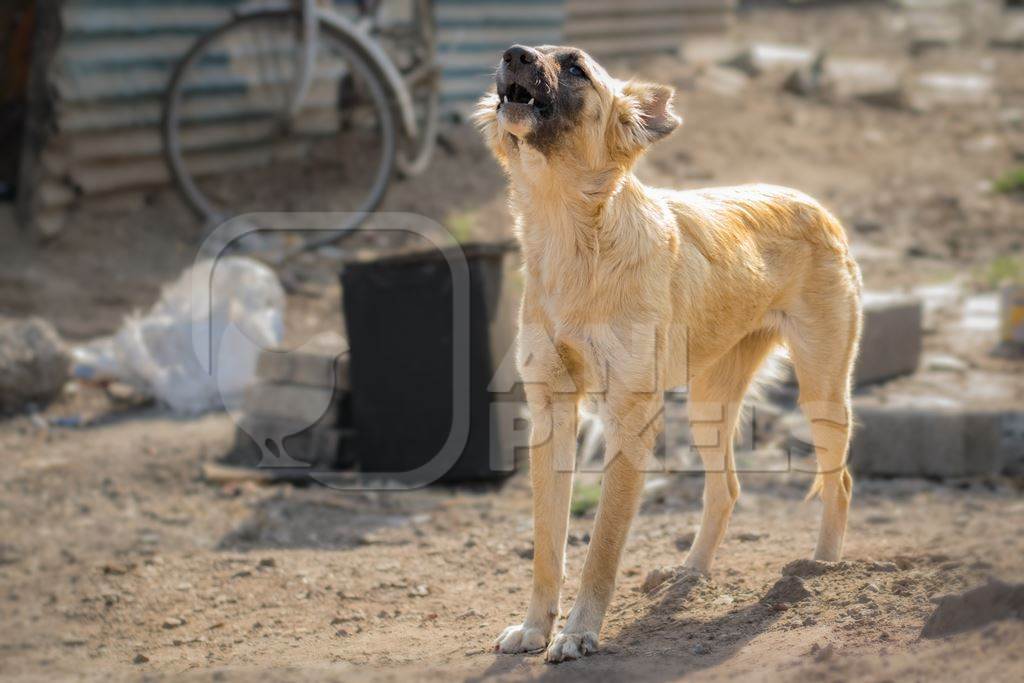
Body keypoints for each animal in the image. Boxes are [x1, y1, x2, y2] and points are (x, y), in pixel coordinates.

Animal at [475, 45, 860, 663]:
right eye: (528, 51)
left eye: (576, 68)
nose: (512, 54)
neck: (572, 240)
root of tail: (811, 201)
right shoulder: (551, 413)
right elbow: (547, 545)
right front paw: (536, 627)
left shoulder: (630, 418)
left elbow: (602, 546)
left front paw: (579, 632)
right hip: (707, 407)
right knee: (726, 489)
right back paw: (690, 573)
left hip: (822, 393)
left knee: (838, 482)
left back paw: (820, 568)